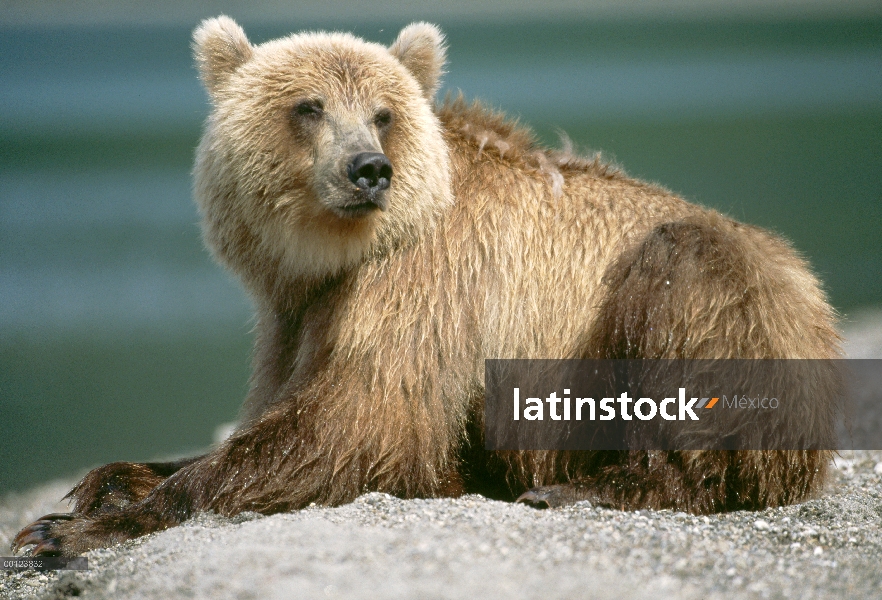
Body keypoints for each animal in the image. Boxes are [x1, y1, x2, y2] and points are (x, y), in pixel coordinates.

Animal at [13, 15, 840, 556]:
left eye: (382, 113)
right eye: (309, 106)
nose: (367, 169)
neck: (330, 259)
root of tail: (816, 301)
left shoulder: (422, 283)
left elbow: (356, 426)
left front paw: (74, 528)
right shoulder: (296, 314)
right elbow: (270, 413)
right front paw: (104, 482)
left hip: (723, 306)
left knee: (686, 300)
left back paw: (587, 486)